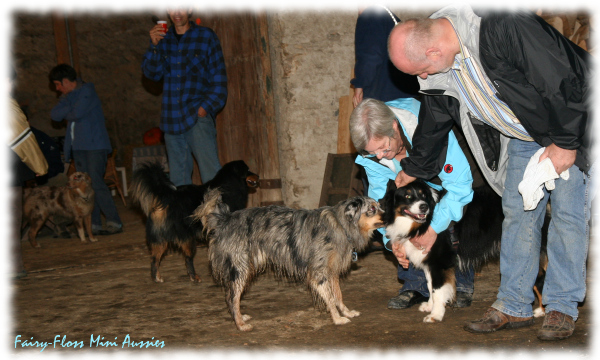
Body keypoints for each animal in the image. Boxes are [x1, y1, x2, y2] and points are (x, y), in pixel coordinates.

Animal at [382, 180, 504, 324]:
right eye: (407, 196)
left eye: (423, 195)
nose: (424, 207)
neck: (423, 223)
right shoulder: (429, 262)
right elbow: (430, 285)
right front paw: (430, 306)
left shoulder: (439, 262)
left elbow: (437, 289)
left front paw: (436, 315)